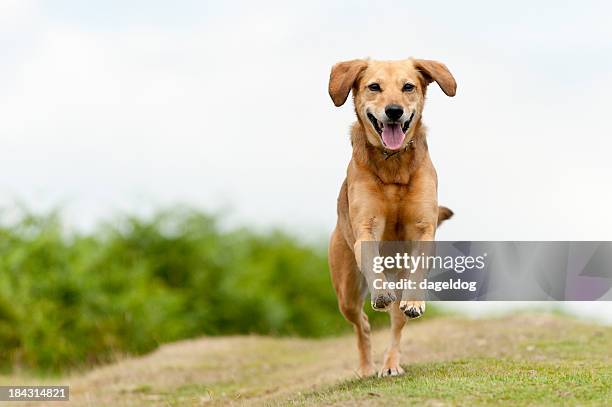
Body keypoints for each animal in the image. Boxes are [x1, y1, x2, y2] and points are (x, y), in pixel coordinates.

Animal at [328, 56, 456, 376]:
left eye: (408, 87)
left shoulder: (423, 229)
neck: (393, 164)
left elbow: (418, 272)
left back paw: (390, 364)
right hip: (347, 290)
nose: (394, 111)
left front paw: (414, 302)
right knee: (362, 323)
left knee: (397, 321)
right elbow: (372, 259)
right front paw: (380, 292)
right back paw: (365, 368)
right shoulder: (366, 227)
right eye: (374, 87)